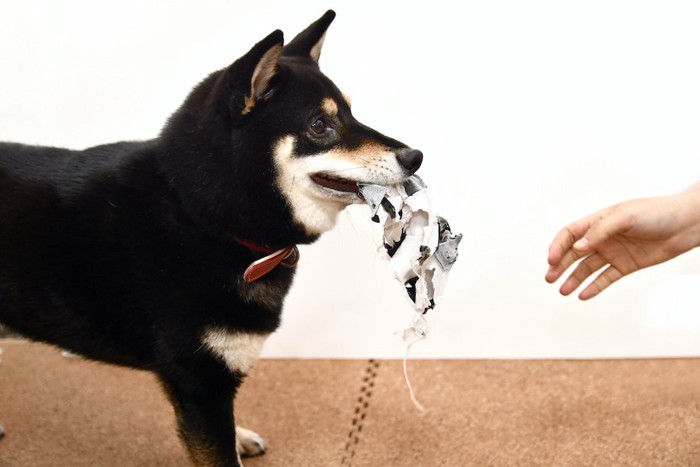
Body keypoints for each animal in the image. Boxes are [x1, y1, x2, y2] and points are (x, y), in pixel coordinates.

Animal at [0, 11, 422, 467]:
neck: (200, 215)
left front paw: (239, 436)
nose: (415, 156)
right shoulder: (199, 382)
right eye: (319, 125)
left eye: (351, 114)